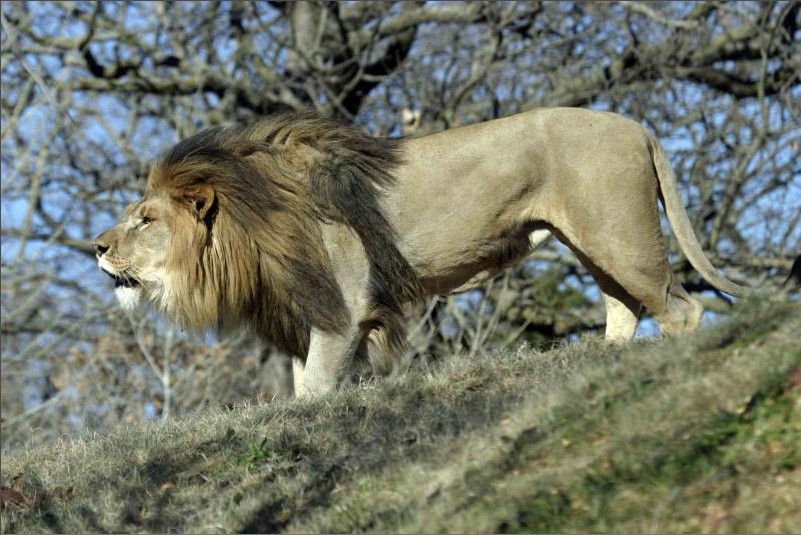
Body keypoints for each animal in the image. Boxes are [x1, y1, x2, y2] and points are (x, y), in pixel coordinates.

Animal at [94, 107, 750, 397]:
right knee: (625, 308)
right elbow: (302, 386)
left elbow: (316, 390)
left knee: (681, 309)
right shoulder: (309, 316)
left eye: (145, 219)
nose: (95, 246)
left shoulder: (343, 310)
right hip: (595, 243)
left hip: (620, 237)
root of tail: (638, 125)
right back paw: (602, 369)